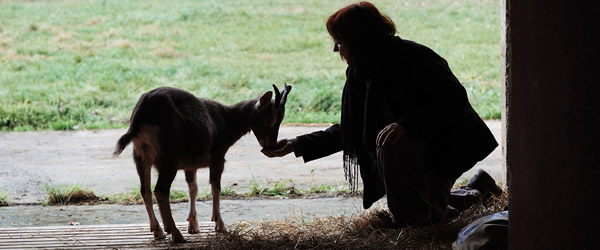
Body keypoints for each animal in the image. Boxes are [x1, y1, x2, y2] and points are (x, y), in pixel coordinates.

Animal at [113, 84, 292, 242]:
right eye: (269, 119)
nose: (272, 146)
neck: (226, 120)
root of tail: (141, 115)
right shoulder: (218, 158)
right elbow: (215, 188)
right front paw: (220, 225)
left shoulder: (190, 164)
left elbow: (193, 189)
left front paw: (193, 225)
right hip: (169, 157)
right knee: (161, 190)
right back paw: (175, 233)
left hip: (141, 155)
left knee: (145, 191)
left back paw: (158, 231)